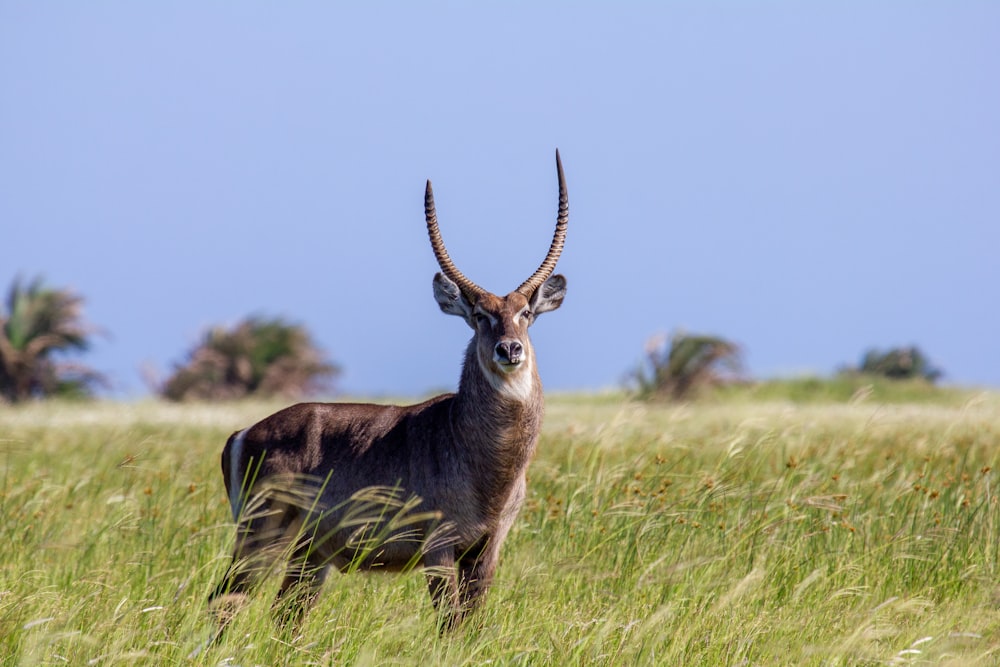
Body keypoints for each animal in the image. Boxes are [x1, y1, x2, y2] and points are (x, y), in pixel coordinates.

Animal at [209, 151, 572, 636]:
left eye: (526, 314)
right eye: (479, 315)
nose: (509, 349)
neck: (485, 461)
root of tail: (242, 432)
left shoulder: (488, 548)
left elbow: (472, 625)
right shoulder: (438, 546)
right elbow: (449, 625)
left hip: (309, 553)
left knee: (285, 617)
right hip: (260, 535)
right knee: (224, 601)